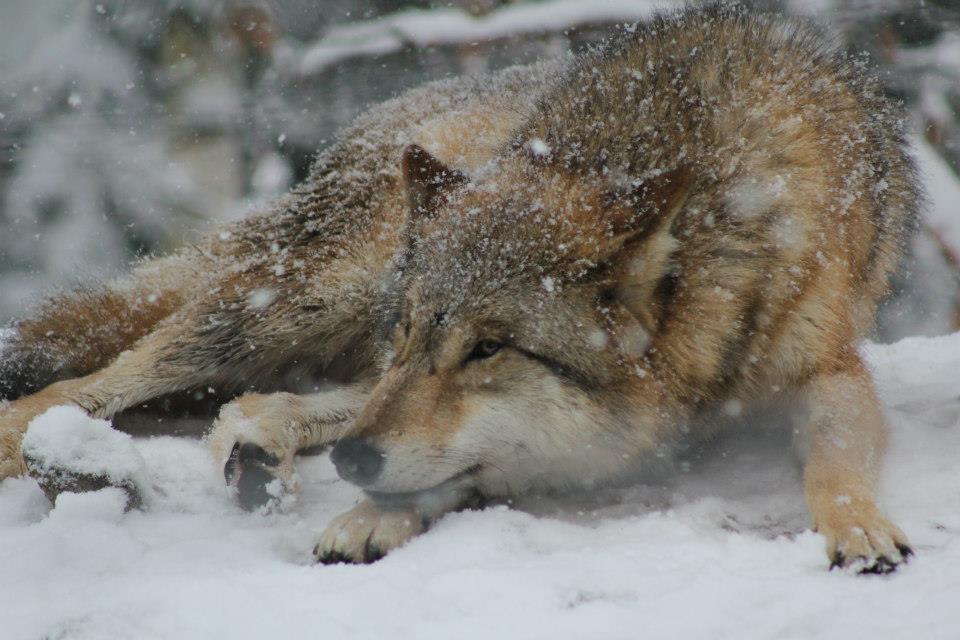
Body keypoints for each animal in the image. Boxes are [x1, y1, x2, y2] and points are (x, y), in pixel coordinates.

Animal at [0, 5, 920, 572]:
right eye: (420, 333)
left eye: (488, 349)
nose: (355, 464)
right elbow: (459, 462)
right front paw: (370, 513)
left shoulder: (832, 371)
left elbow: (835, 465)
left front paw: (859, 527)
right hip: (302, 298)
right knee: (98, 377)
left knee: (275, 401)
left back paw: (260, 444)